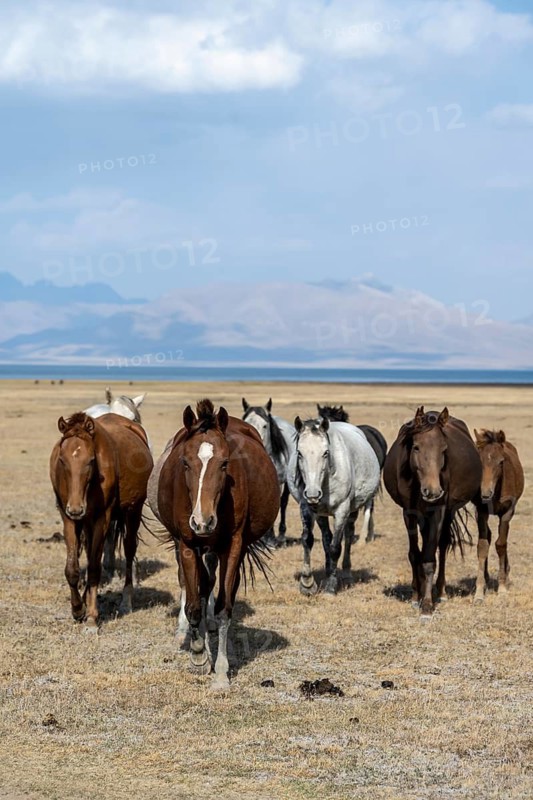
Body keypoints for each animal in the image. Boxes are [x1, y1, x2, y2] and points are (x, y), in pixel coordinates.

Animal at [49, 412, 153, 627]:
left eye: (90, 461)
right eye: (62, 460)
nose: (76, 508)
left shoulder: (102, 518)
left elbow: (95, 568)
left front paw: (91, 617)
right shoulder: (68, 518)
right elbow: (73, 568)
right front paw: (78, 609)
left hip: (133, 511)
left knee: (129, 551)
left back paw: (126, 601)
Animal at [152, 399, 279, 689]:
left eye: (224, 464)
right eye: (185, 462)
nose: (203, 521)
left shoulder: (232, 547)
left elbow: (223, 609)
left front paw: (221, 673)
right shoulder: (187, 545)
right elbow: (193, 605)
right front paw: (199, 657)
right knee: (197, 588)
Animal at [287, 414, 380, 595]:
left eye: (325, 453)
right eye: (299, 453)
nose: (313, 494)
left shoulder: (342, 510)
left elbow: (336, 547)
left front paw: (330, 586)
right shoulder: (306, 508)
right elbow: (308, 540)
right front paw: (307, 584)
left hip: (352, 511)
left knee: (348, 536)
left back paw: (346, 573)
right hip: (321, 514)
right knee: (326, 539)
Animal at [383, 406, 482, 617]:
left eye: (444, 449)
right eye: (416, 447)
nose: (433, 491)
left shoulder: (438, 511)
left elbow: (429, 558)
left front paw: (427, 605)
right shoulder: (409, 513)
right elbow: (415, 554)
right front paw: (416, 596)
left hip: (448, 512)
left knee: (443, 545)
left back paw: (441, 591)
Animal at [473, 429, 524, 600]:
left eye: (501, 462)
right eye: (479, 461)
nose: (485, 493)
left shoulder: (507, 512)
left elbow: (501, 544)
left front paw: (502, 587)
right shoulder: (481, 511)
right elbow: (483, 546)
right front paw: (479, 591)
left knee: (502, 540)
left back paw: (506, 575)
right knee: (489, 536)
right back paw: (487, 577)